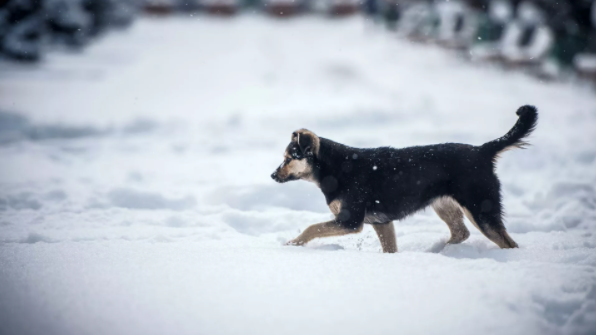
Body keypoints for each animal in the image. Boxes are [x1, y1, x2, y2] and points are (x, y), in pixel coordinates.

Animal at [272, 105, 536, 252]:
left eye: (288, 158)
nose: (273, 175)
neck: (333, 167)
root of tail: (482, 151)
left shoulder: (350, 221)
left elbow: (311, 228)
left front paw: (291, 245)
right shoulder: (382, 222)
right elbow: (390, 249)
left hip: (480, 208)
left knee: (507, 243)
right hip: (444, 205)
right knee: (461, 233)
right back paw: (440, 251)